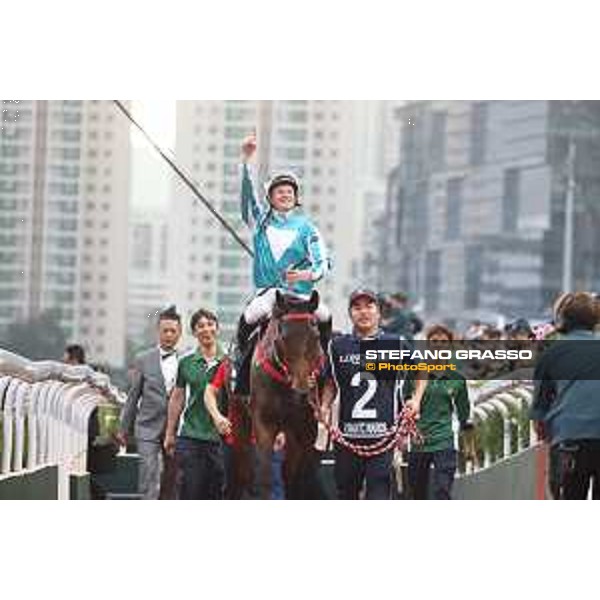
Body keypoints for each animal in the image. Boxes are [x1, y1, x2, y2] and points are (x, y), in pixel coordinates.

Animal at [247, 288, 326, 500]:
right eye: (282, 337)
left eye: (316, 335)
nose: (301, 389)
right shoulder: (263, 422)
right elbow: (265, 473)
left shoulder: (306, 428)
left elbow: (298, 477)